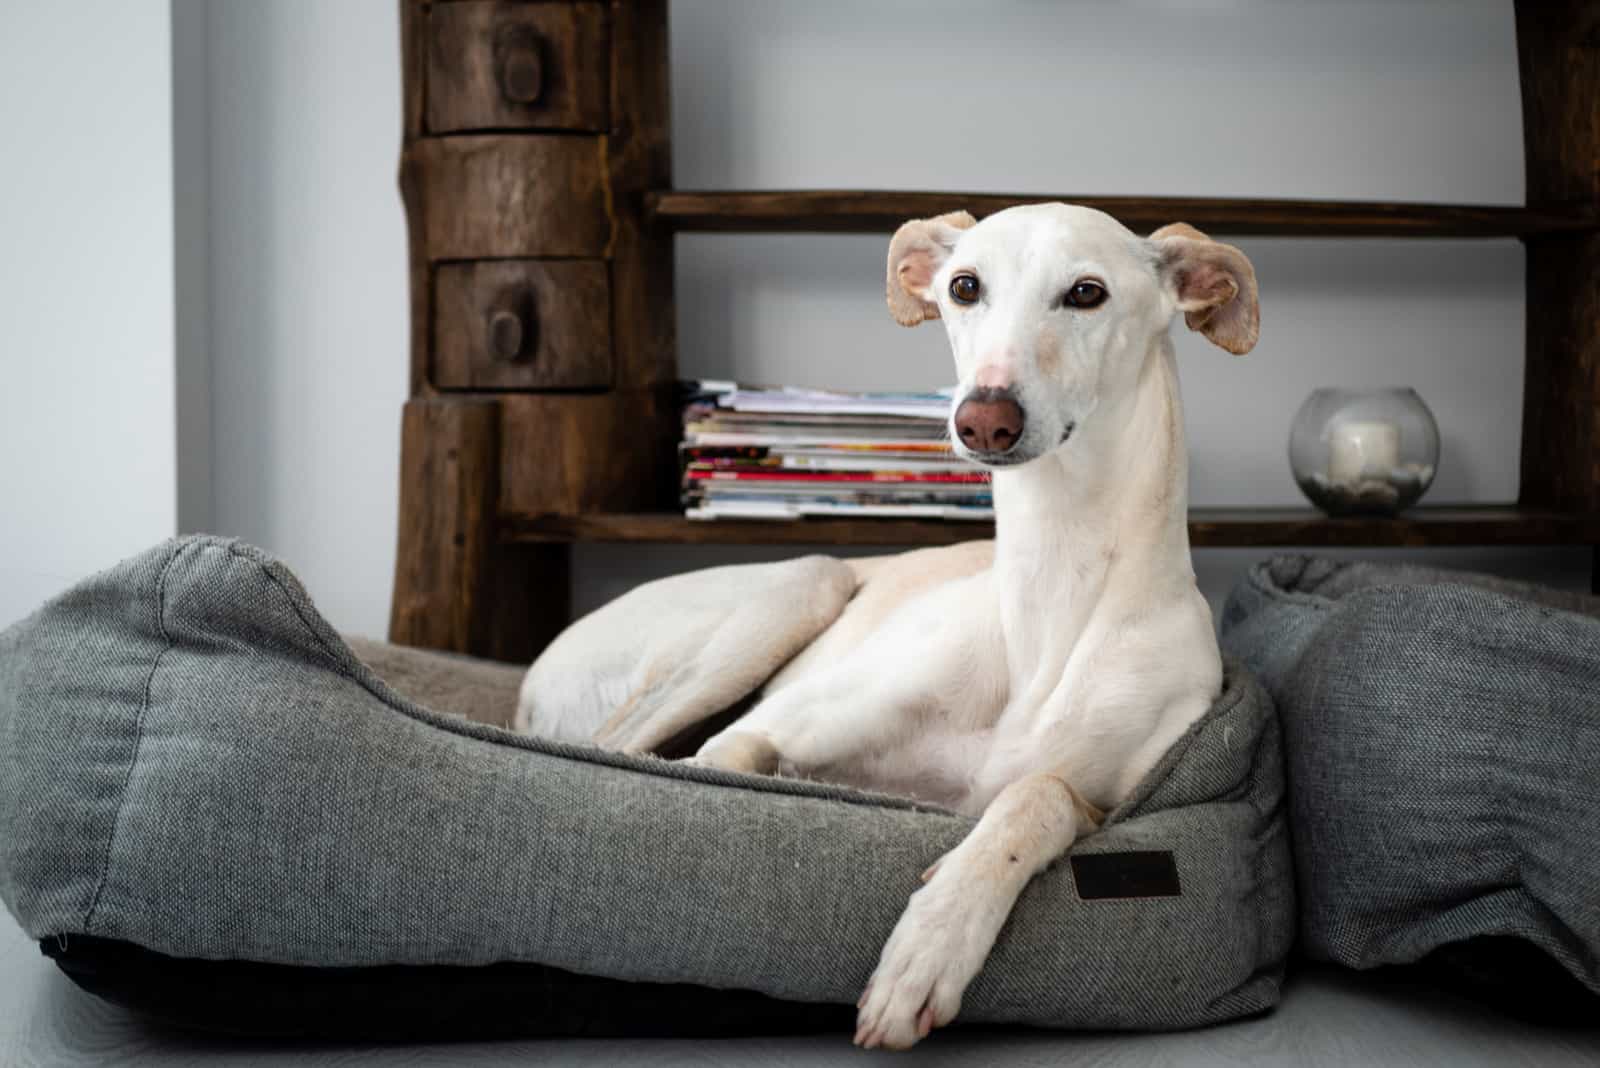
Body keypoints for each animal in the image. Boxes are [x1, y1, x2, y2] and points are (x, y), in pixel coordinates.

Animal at [508, 202, 1248, 1048]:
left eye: (1087, 292)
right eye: (965, 286)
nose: (983, 420)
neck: (1050, 594)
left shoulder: (1109, 801)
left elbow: (1038, 794)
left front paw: (931, 946)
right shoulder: (761, 734)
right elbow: (724, 762)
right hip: (808, 582)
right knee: (617, 750)